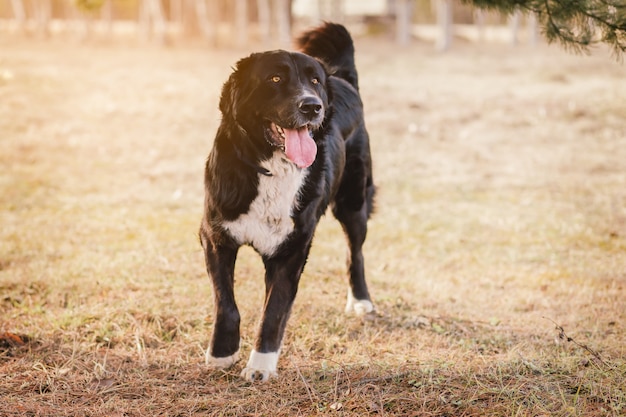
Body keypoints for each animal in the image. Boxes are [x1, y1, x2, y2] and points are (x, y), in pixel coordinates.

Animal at [200, 22, 372, 380]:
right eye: (275, 79)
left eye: (314, 81)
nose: (312, 106)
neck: (271, 166)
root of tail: (343, 79)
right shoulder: (215, 236)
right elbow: (226, 302)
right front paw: (222, 352)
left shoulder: (292, 250)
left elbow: (274, 311)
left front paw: (260, 365)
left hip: (353, 201)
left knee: (356, 253)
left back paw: (361, 300)